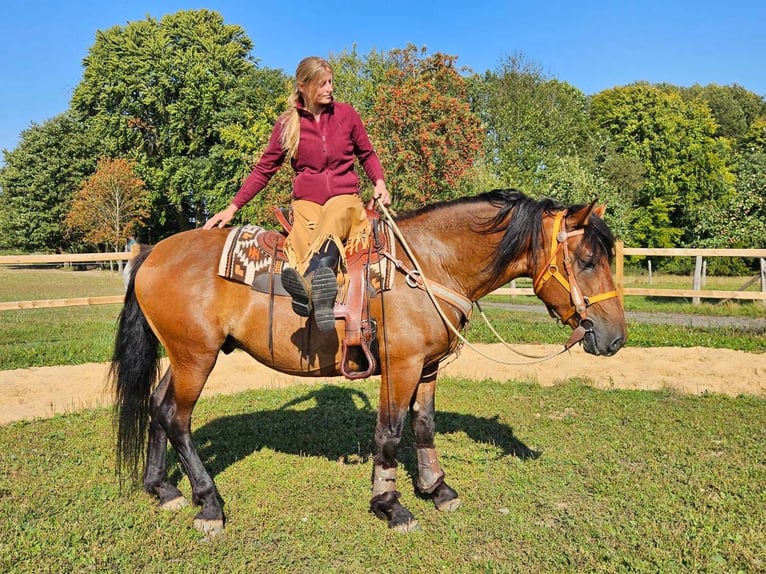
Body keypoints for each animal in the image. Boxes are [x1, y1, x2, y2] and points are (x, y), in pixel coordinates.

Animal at [114, 191, 632, 536]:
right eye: (586, 260)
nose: (615, 339)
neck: (427, 266)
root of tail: (151, 253)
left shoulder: (428, 367)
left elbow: (424, 425)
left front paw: (436, 488)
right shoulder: (400, 367)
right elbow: (390, 433)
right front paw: (391, 504)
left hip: (183, 357)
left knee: (157, 408)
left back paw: (163, 489)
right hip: (195, 358)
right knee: (177, 419)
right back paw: (209, 504)